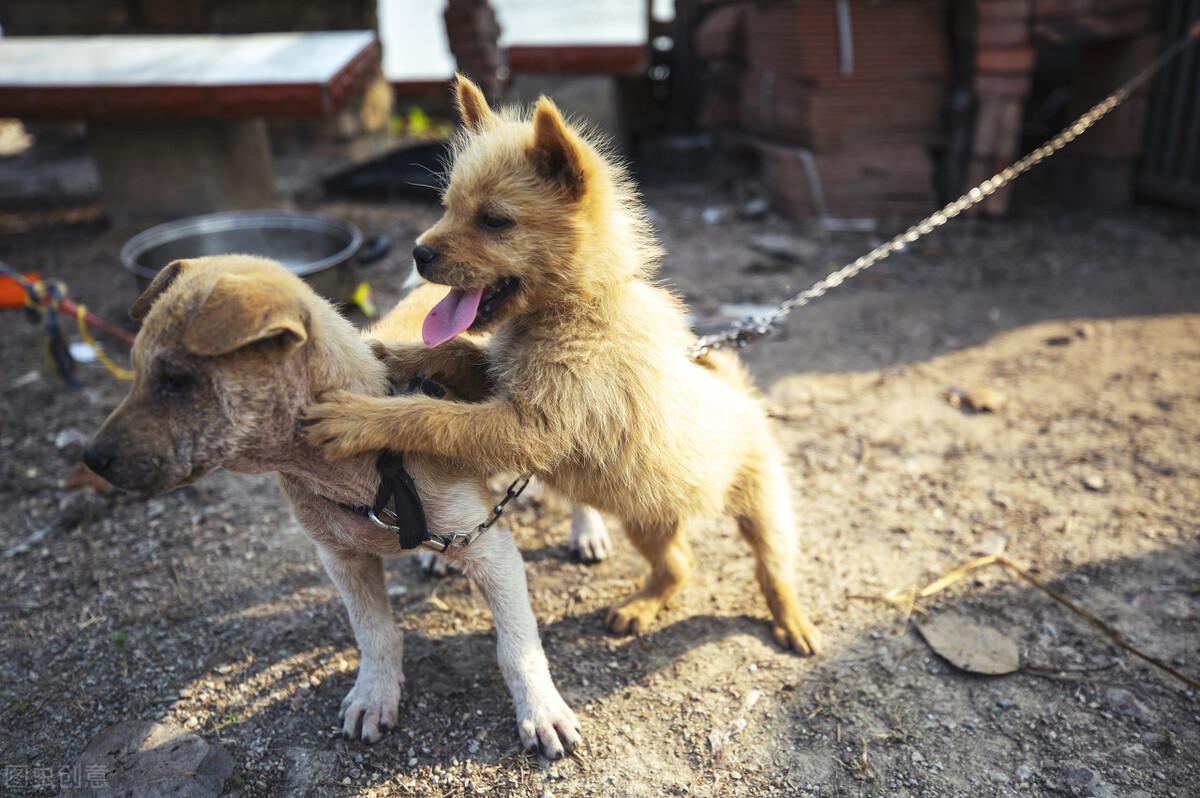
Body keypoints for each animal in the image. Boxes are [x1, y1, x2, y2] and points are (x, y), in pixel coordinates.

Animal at [84, 255, 580, 753]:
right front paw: (374, 696)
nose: (90, 459)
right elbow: (375, 633)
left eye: (176, 381)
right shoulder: (341, 559)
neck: (371, 470)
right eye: (136, 372)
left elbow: (517, 646)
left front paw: (541, 712)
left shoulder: (494, 553)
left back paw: (586, 533)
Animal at [304, 76, 820, 652]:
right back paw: (638, 609)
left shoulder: (530, 428)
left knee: (771, 567)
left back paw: (792, 620)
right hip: (647, 517)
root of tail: (742, 398)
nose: (418, 254)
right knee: (678, 566)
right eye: (447, 206)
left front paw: (359, 420)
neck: (577, 309)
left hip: (761, 505)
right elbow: (455, 352)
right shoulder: (499, 384)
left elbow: (432, 417)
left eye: (495, 220)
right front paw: (391, 353)